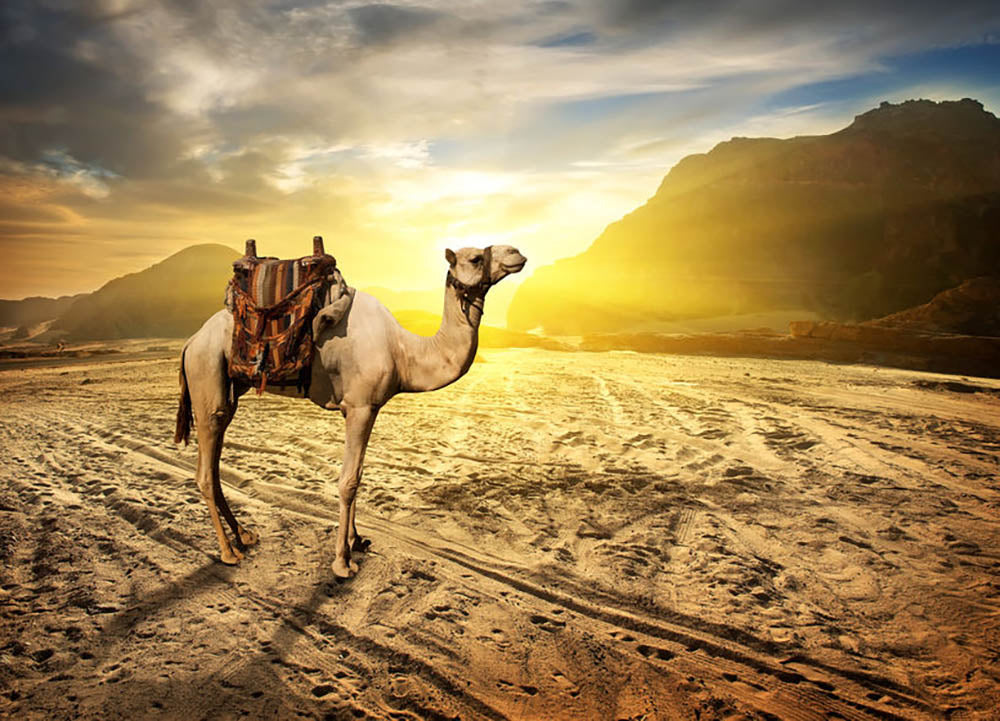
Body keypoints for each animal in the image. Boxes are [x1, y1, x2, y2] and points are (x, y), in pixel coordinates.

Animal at [174, 243, 527, 577]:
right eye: (476, 258)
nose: (517, 253)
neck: (404, 352)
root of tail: (190, 342)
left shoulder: (366, 408)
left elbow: (359, 474)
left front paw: (357, 541)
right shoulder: (359, 406)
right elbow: (348, 481)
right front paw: (342, 562)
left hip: (229, 391)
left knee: (215, 466)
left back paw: (244, 535)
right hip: (207, 375)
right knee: (205, 472)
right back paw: (228, 552)